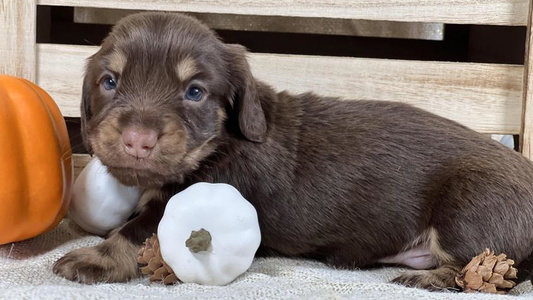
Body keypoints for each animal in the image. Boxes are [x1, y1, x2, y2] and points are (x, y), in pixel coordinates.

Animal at [52, 12, 532, 290]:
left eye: (195, 92)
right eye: (109, 81)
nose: (138, 139)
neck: (221, 141)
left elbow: (138, 230)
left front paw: (94, 257)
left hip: (469, 202)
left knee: (484, 265)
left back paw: (429, 276)